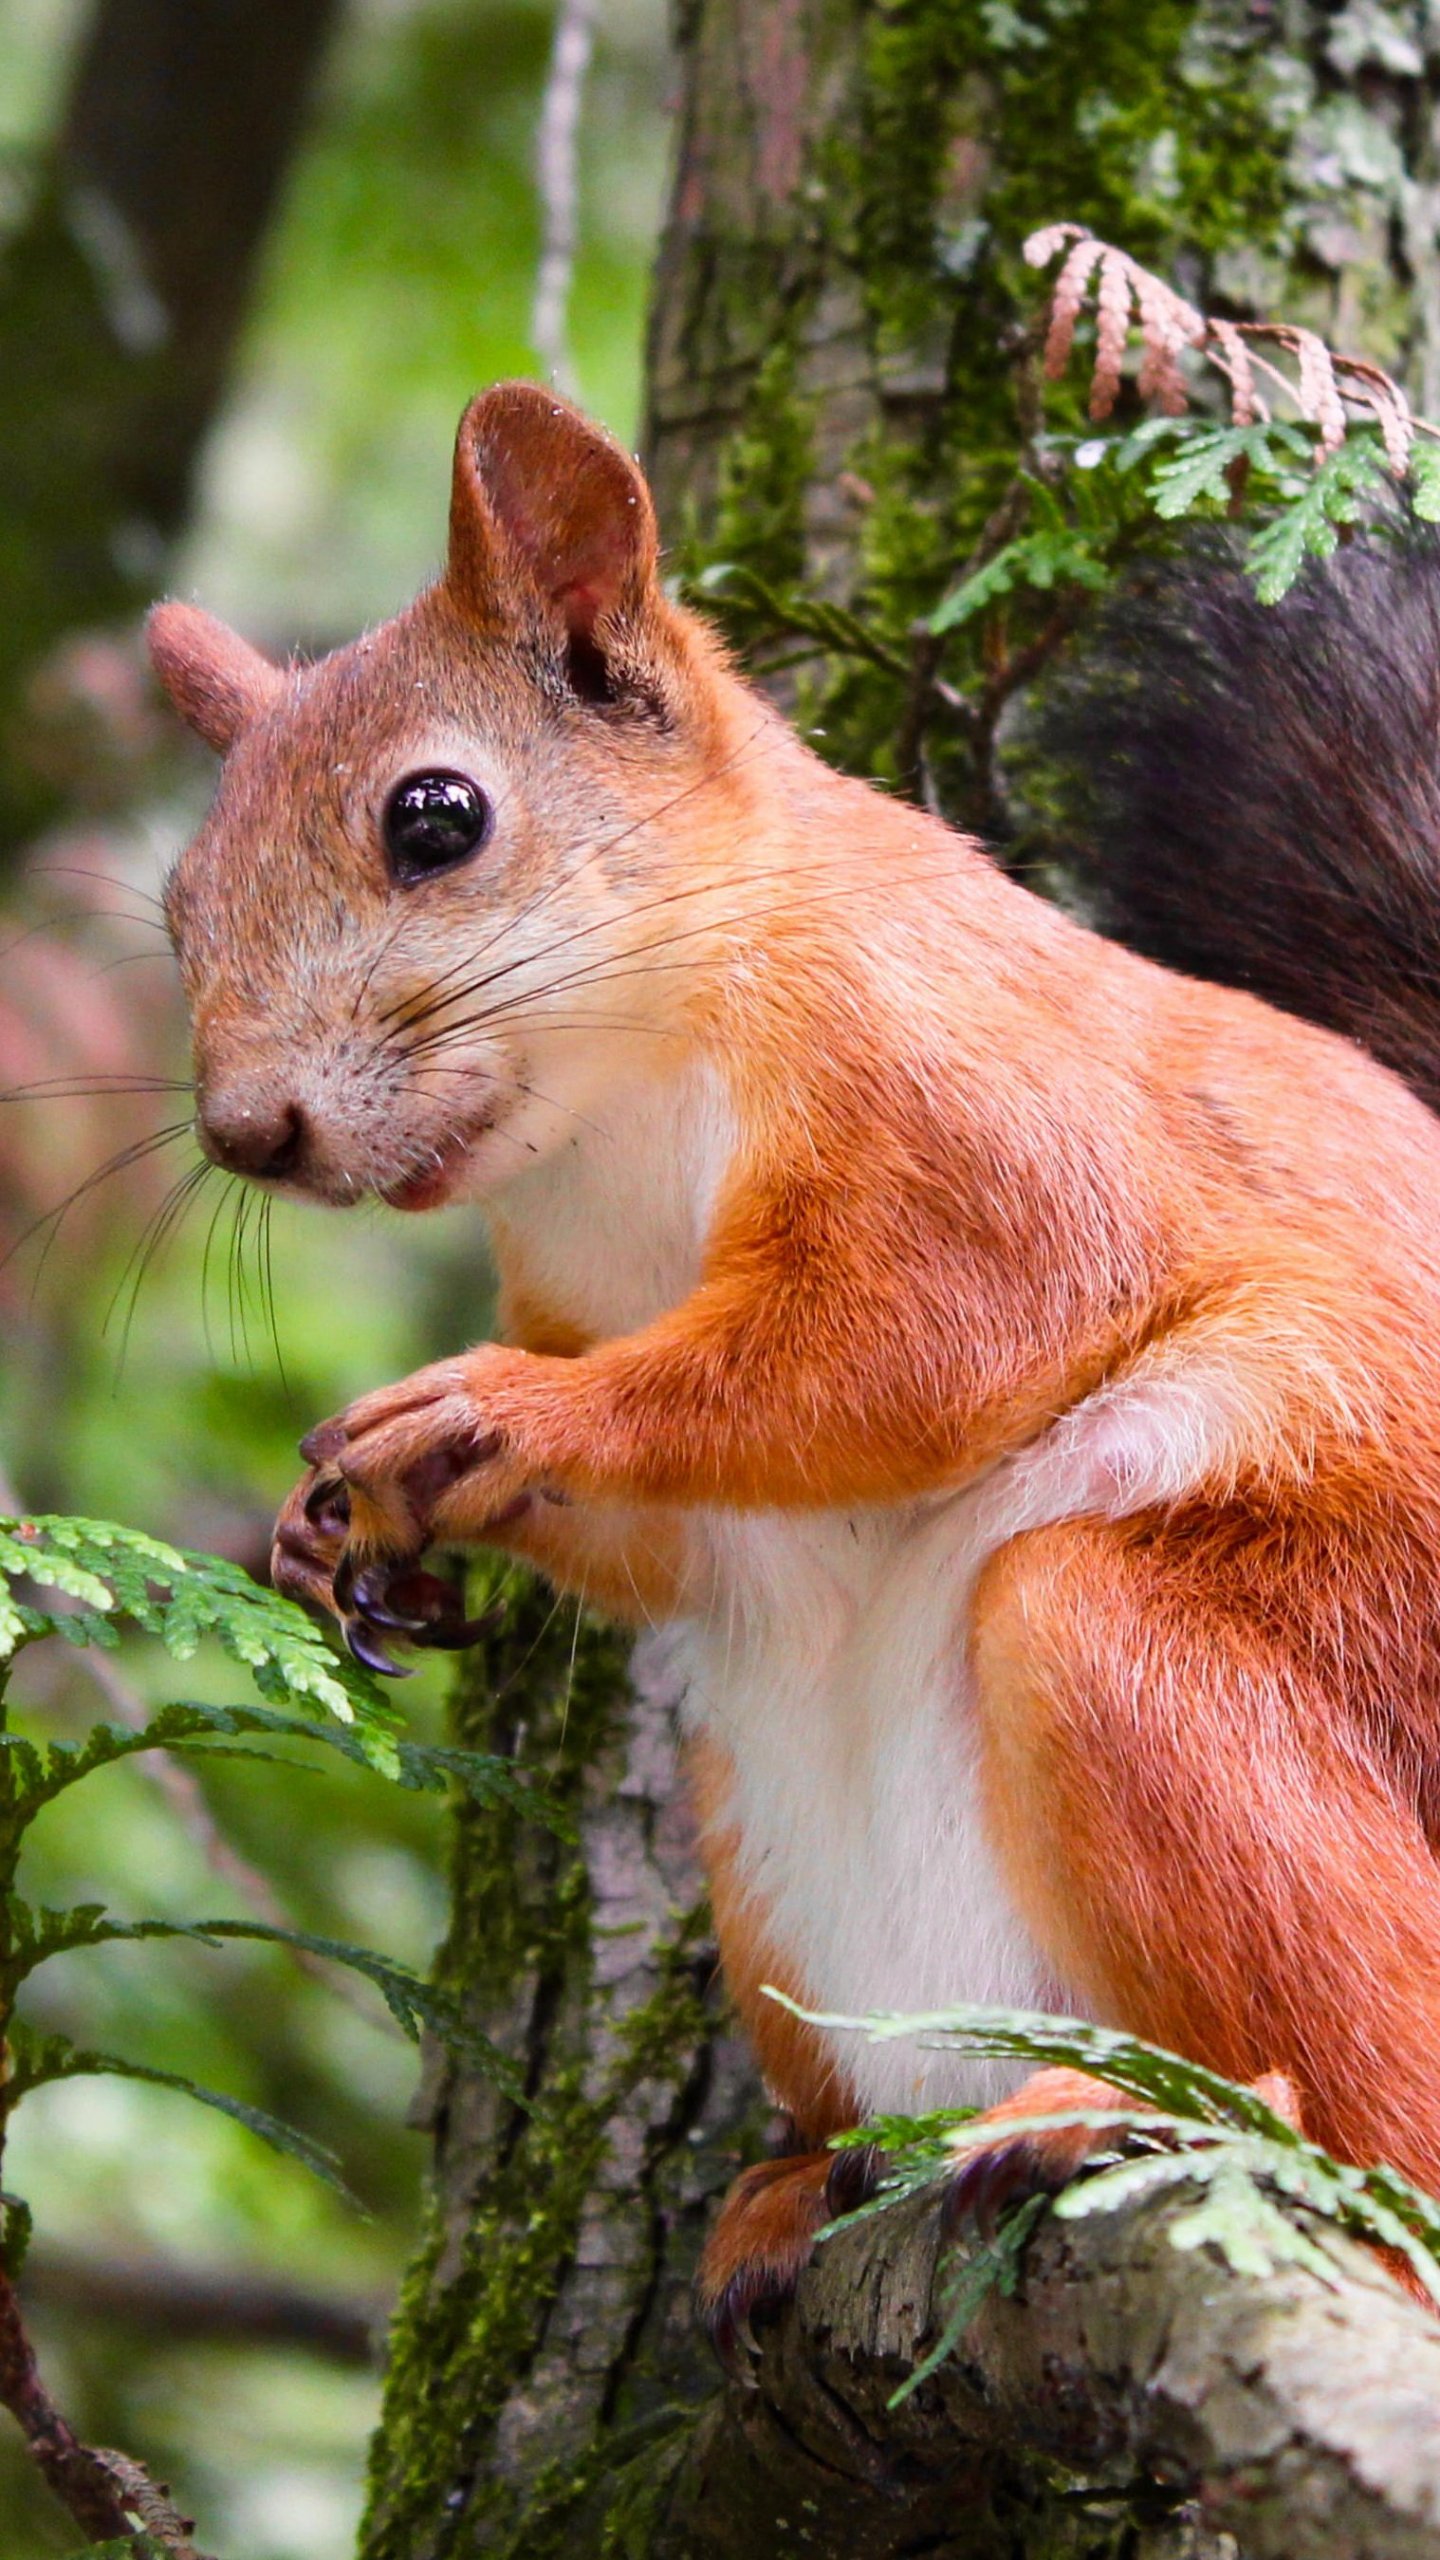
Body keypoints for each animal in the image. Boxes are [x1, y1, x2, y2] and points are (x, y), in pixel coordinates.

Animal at [148, 384, 1440, 2341]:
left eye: (436, 817)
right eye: (174, 904)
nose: (247, 1133)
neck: (617, 1112)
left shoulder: (972, 1106)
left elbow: (902, 1347)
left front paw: (497, 1413)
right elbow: (674, 1529)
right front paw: (356, 1537)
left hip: (1211, 1660)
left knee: (1391, 2131)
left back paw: (1153, 2120)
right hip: (759, 1845)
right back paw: (790, 2192)